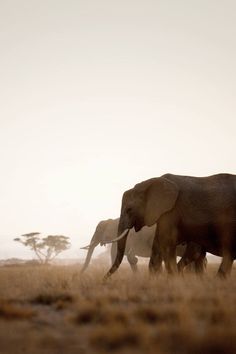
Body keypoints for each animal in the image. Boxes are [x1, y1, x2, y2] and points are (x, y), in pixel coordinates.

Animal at [105, 172, 236, 280]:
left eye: (129, 210)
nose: (104, 280)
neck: (149, 183)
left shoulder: (171, 212)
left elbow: (166, 244)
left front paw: (174, 280)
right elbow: (157, 246)